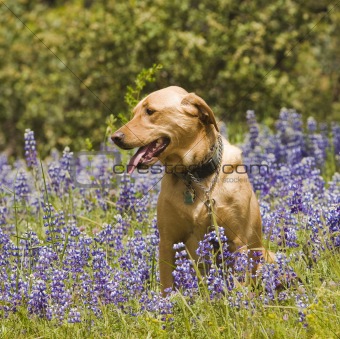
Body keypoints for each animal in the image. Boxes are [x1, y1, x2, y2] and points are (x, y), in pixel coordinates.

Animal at [111, 85, 274, 294]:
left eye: (150, 111)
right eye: (134, 114)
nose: (115, 137)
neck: (193, 175)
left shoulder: (236, 240)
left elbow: (238, 283)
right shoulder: (168, 241)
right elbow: (167, 286)